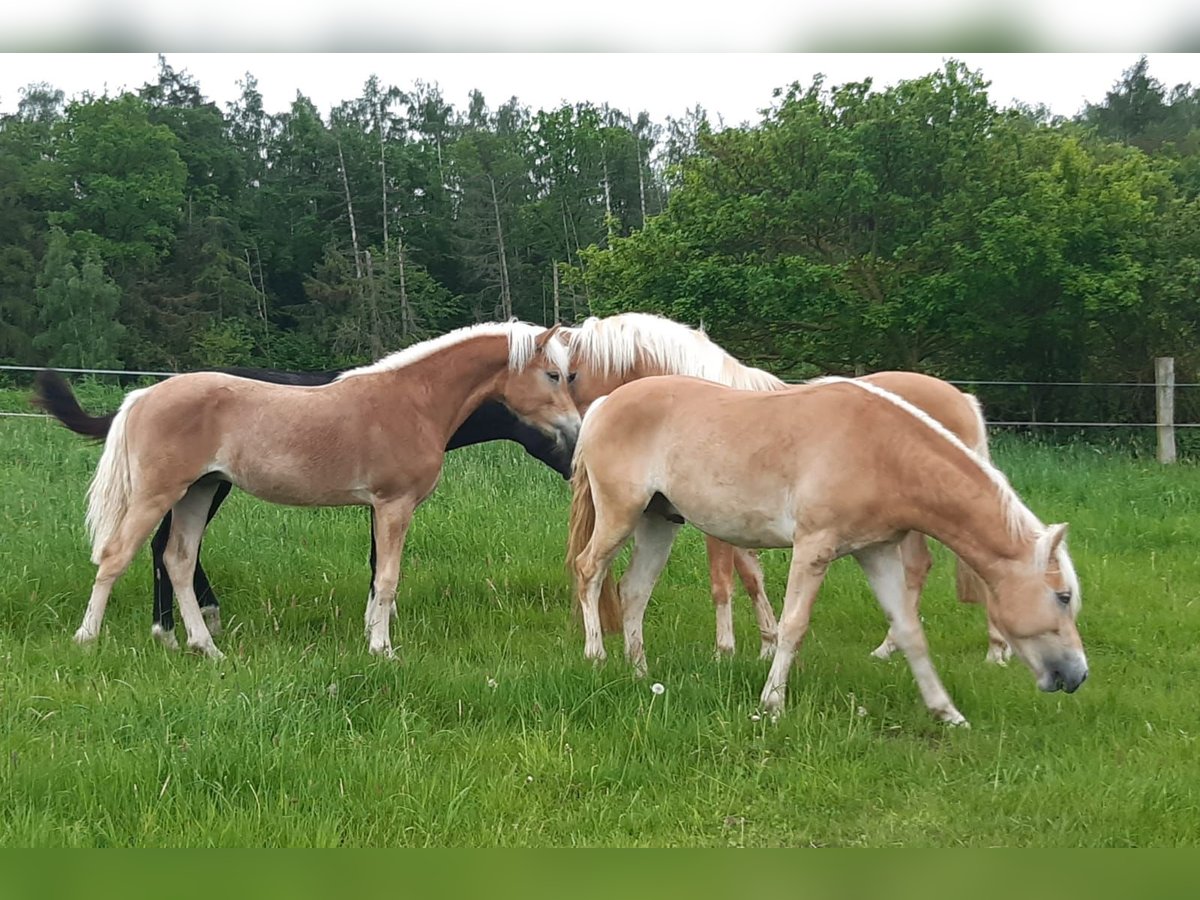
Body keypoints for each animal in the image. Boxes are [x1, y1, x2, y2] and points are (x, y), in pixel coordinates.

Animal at [42, 321, 576, 657]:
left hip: (199, 492)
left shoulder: (378, 508)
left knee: (177, 559)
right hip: (160, 494)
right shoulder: (393, 505)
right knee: (117, 555)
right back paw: (87, 640)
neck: (412, 401)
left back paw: (206, 648)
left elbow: (377, 575)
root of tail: (144, 394)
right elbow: (387, 578)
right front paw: (383, 650)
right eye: (554, 374)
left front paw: (372, 639)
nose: (575, 429)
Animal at [561, 314, 1003, 662]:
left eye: (570, 374)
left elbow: (725, 582)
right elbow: (751, 577)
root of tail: (962, 398)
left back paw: (991, 651)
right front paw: (764, 645)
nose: (574, 436)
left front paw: (730, 649)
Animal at [566, 376, 1084, 729]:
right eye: (1062, 596)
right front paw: (772, 703)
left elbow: (910, 631)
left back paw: (639, 672)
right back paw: (596, 656)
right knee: (589, 571)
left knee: (633, 591)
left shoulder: (877, 552)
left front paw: (946, 712)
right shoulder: (813, 548)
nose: (1077, 676)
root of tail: (606, 403)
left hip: (657, 523)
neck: (880, 449)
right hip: (620, 514)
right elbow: (793, 626)